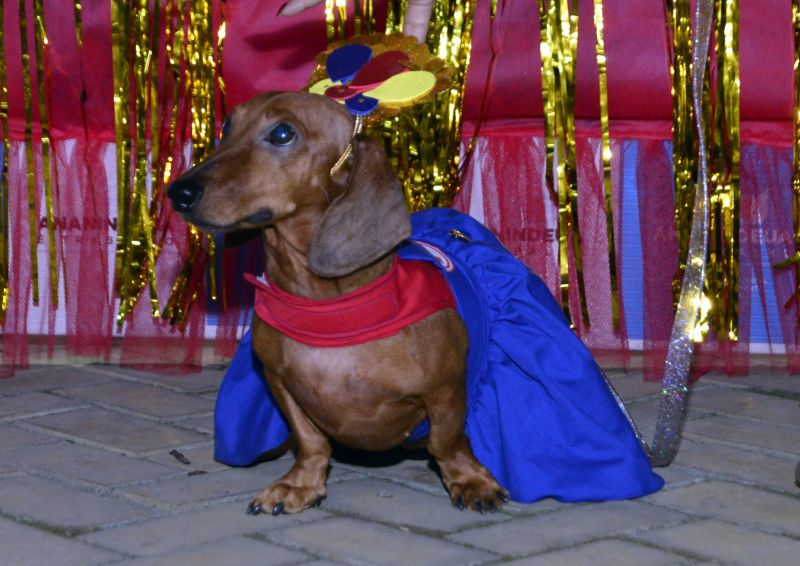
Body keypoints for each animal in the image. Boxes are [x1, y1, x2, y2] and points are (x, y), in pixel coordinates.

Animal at [167, 92, 506, 516]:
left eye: (282, 133)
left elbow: (446, 440)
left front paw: (470, 480)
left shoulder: (446, 389)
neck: (325, 305)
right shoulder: (279, 382)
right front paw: (300, 484)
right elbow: (311, 441)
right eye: (227, 126)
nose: (178, 193)